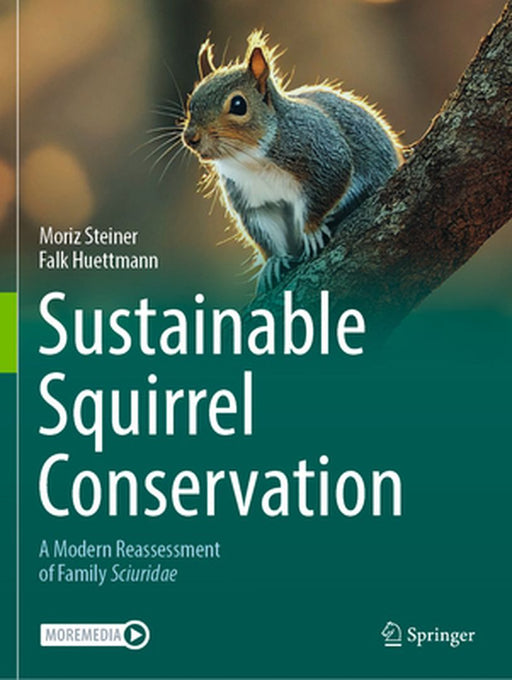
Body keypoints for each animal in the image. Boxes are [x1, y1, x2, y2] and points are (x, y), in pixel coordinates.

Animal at [182, 31, 403, 293]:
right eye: (191, 101)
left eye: (238, 105)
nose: (190, 138)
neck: (251, 160)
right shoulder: (252, 200)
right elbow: (265, 231)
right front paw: (273, 263)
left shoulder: (323, 154)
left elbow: (329, 185)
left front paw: (311, 230)